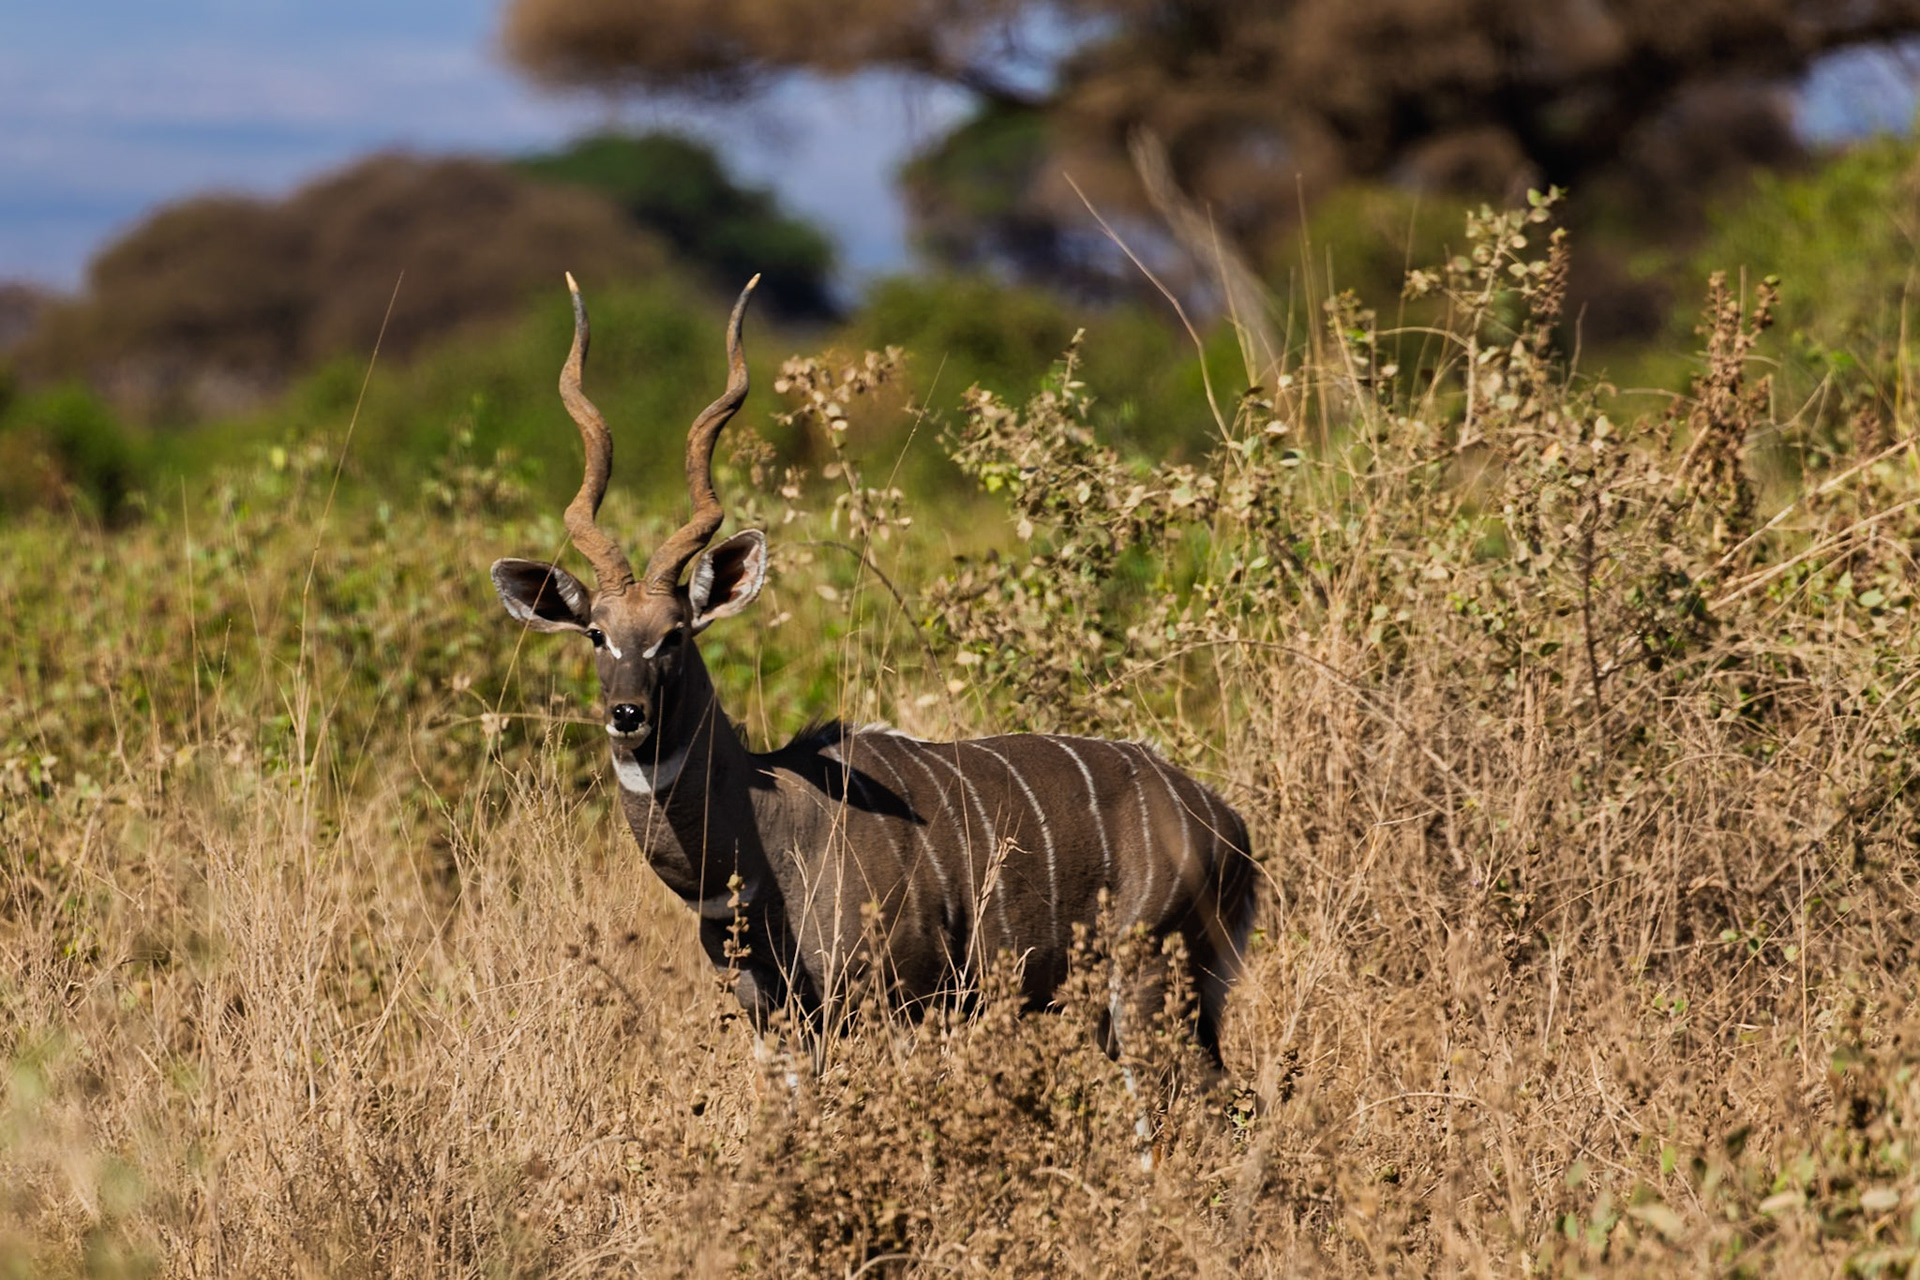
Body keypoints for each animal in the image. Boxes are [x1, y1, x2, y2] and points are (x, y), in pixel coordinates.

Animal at [490, 275, 1257, 1063]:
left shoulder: (893, 1005)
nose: (628, 714)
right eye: (595, 634)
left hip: (1150, 986)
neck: (763, 841)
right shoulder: (779, 1023)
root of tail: (1223, 821)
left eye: (674, 634)